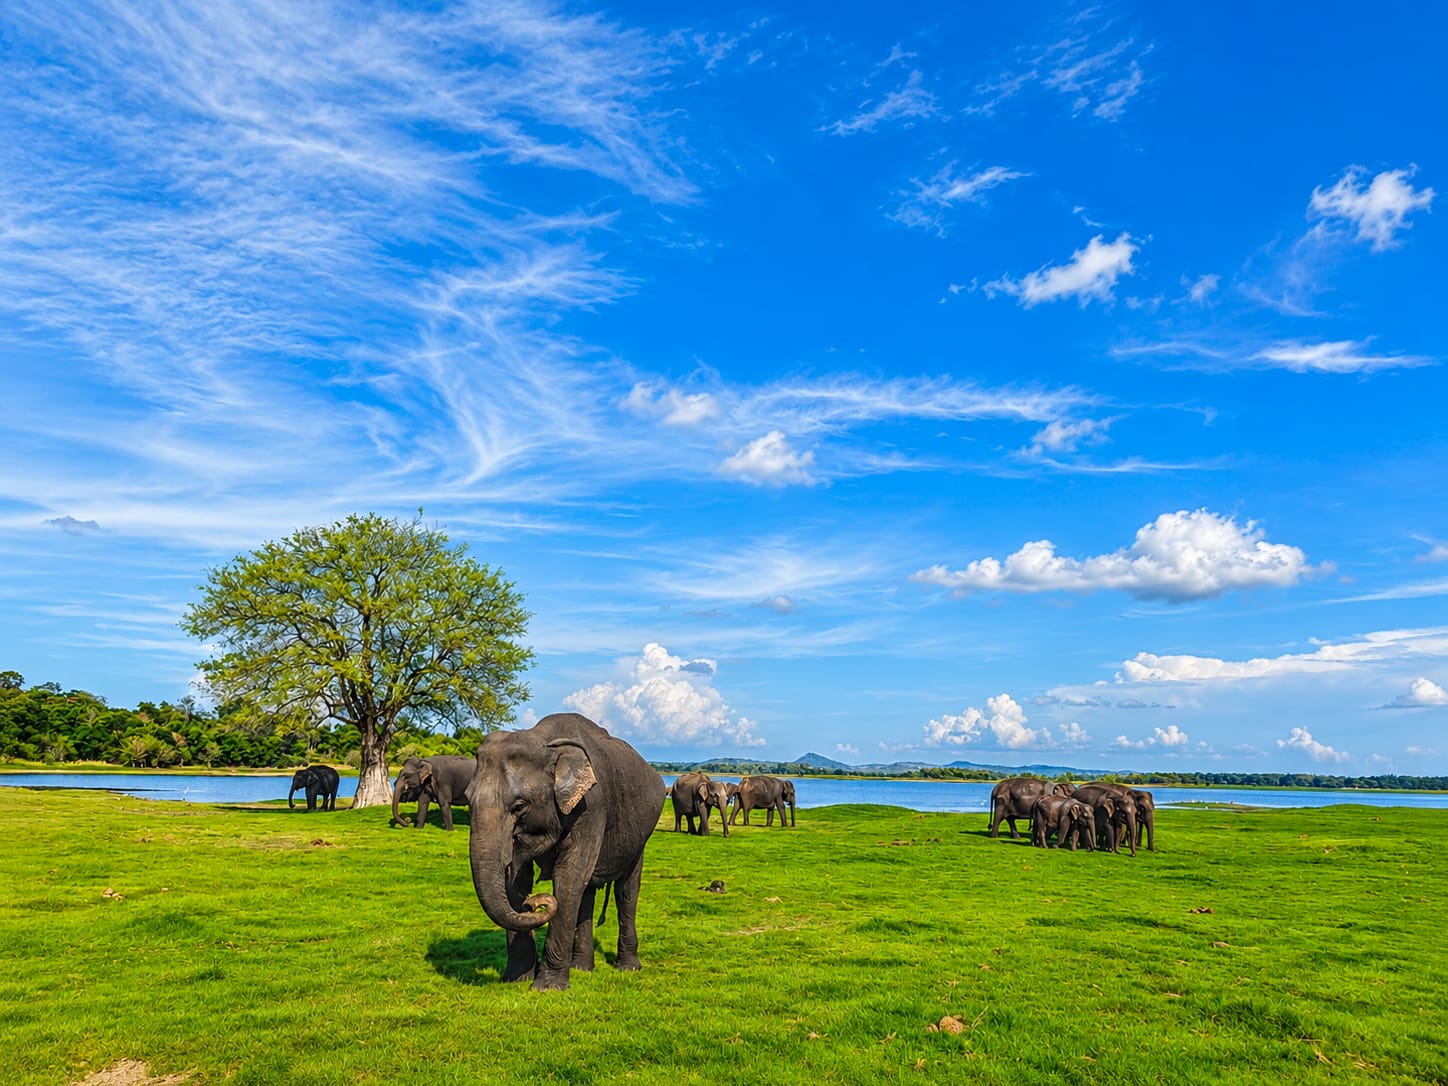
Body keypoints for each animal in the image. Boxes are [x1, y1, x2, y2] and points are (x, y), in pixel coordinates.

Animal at [466, 712, 666, 993]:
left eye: (519, 806)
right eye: (467, 800)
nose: (533, 904)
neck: (545, 740)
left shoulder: (592, 805)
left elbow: (568, 876)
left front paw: (547, 988)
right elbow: (517, 880)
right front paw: (517, 979)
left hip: (641, 834)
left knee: (625, 891)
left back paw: (626, 968)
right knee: (587, 892)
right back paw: (581, 968)